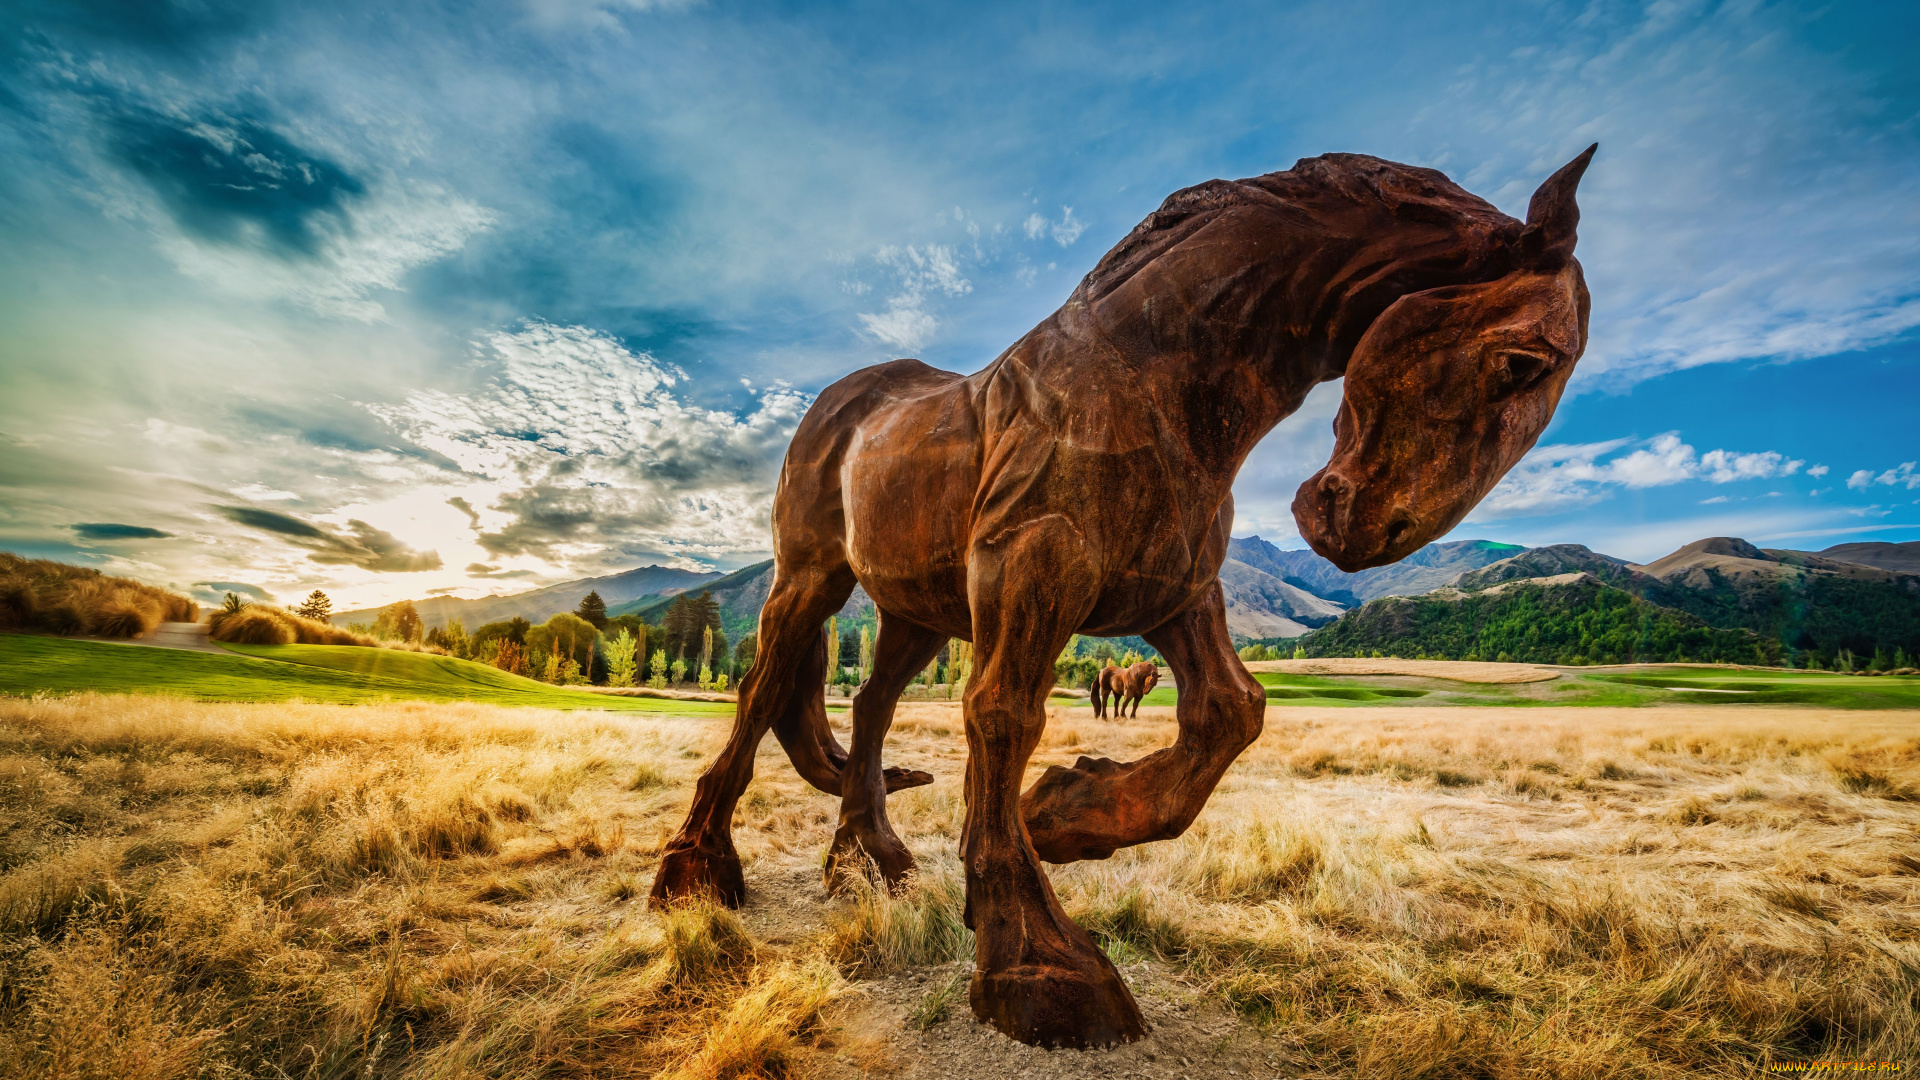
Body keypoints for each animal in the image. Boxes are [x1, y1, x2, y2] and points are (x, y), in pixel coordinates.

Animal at [652, 143, 1597, 1045]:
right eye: (1521, 362)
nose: (1360, 529)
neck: (1151, 377)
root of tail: (840, 403)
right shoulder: (1033, 565)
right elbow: (1003, 717)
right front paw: (1032, 957)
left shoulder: (1176, 593)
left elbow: (1228, 714)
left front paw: (1064, 814)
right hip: (811, 577)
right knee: (763, 688)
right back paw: (694, 868)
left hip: (916, 610)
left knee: (871, 706)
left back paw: (867, 861)